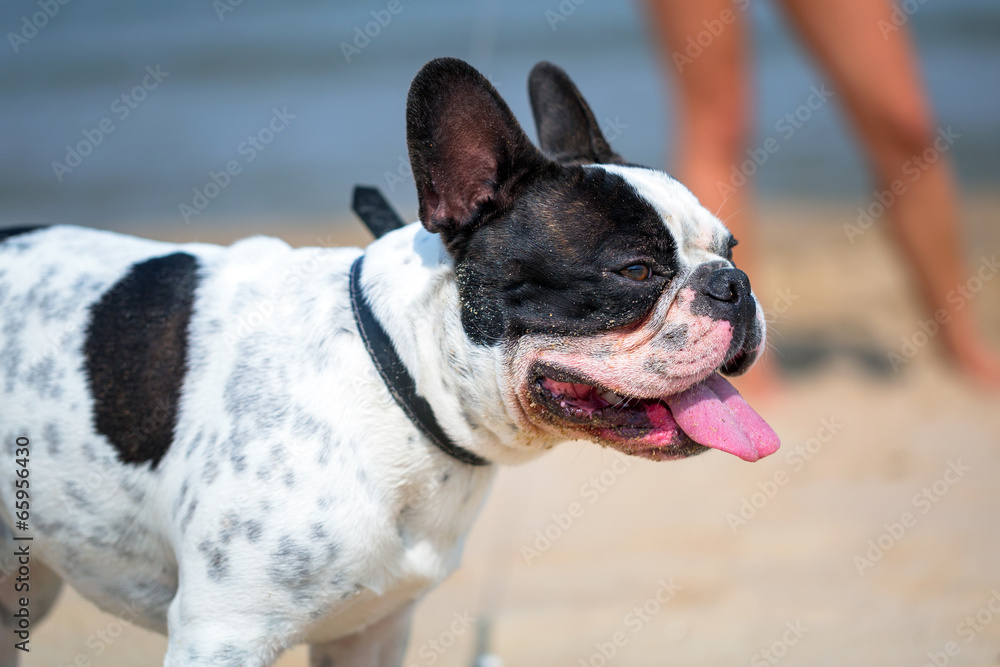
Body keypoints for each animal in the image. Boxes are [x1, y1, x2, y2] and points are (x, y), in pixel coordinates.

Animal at [0, 60, 776, 664]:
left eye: (732, 248)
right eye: (636, 270)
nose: (734, 286)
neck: (397, 385)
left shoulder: (370, 633)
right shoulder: (222, 634)